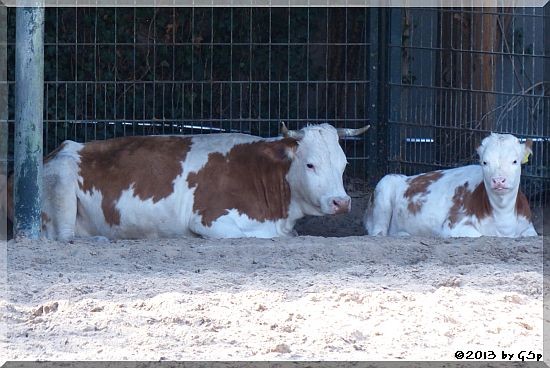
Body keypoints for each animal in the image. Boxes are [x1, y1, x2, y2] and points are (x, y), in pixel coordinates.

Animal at [5, 122, 370, 240]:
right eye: (310, 164)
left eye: (343, 164)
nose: (342, 202)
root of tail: (61, 149)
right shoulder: (209, 220)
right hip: (61, 188)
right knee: (62, 237)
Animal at [366, 134, 540, 237]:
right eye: (484, 162)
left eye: (515, 161)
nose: (498, 180)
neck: (503, 218)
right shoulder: (452, 225)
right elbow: (479, 235)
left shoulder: (528, 227)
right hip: (384, 187)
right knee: (379, 233)